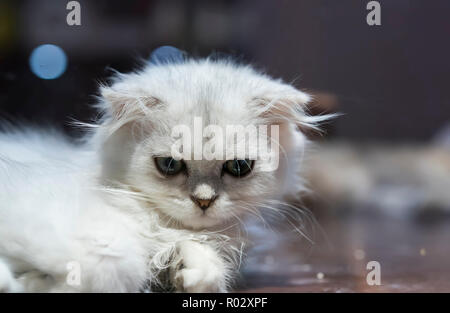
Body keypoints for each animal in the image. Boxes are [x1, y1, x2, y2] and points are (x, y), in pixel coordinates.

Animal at [0, 56, 330, 292]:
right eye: (170, 165)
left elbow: (202, 263)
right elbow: (112, 268)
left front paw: (193, 276)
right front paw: (31, 282)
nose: (203, 202)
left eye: (238, 167)